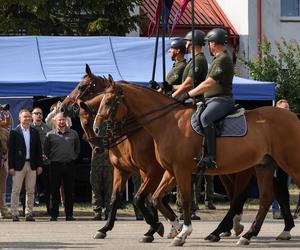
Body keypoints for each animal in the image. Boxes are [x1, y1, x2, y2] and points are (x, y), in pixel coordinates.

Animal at [94, 78, 300, 246]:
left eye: (109, 101)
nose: (97, 129)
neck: (169, 122)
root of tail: (293, 117)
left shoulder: (176, 170)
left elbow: (182, 199)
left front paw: (181, 232)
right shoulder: (169, 172)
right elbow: (154, 198)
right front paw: (168, 226)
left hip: (286, 163)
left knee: (244, 197)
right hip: (263, 166)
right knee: (265, 197)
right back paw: (247, 234)